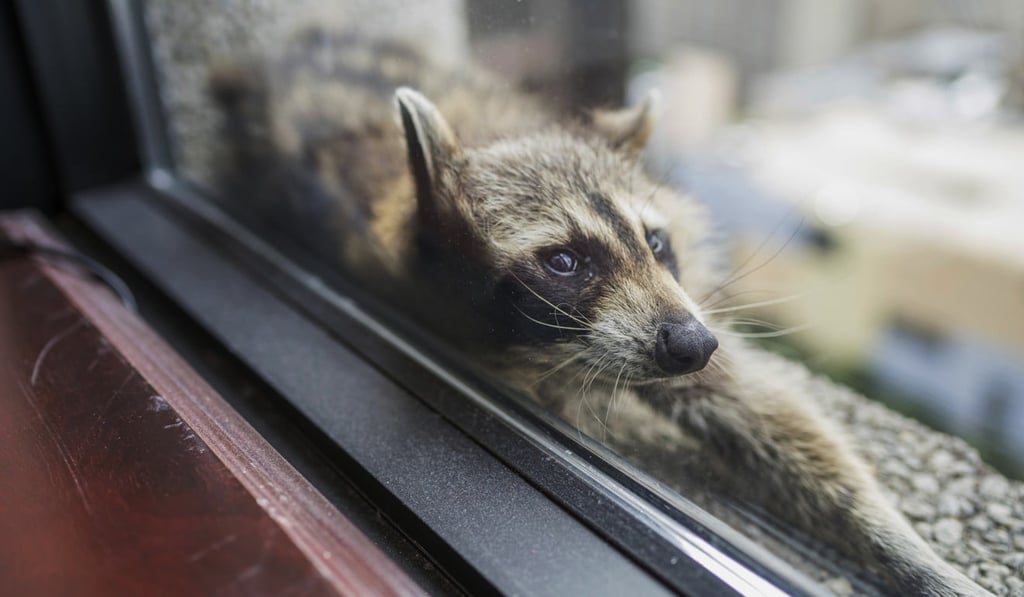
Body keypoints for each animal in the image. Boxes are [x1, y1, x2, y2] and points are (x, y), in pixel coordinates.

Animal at [210, 29, 988, 596]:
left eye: (656, 241)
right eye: (565, 262)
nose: (693, 344)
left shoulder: (676, 309)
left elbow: (765, 406)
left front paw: (905, 547)